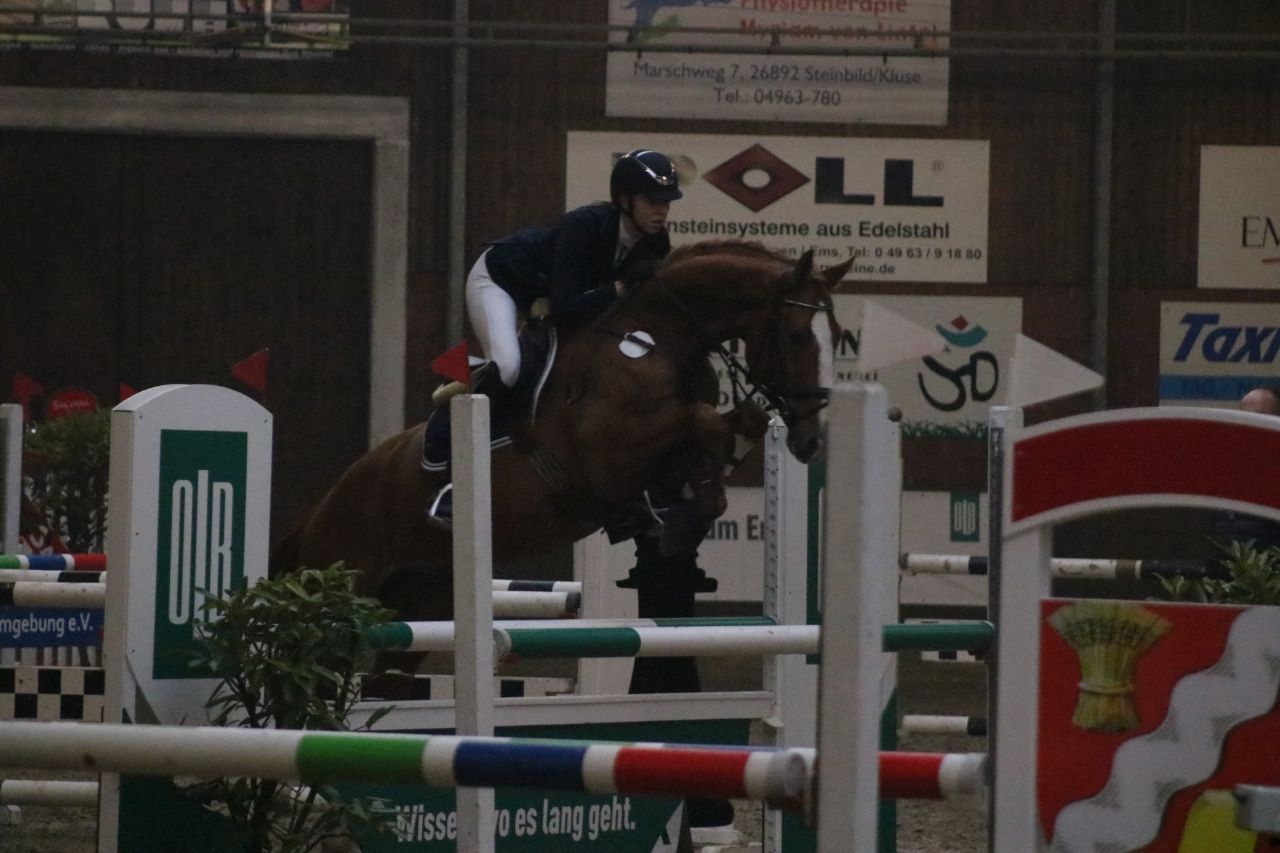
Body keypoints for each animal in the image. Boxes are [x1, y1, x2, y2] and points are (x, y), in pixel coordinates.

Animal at [271, 240, 852, 637]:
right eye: (796, 335)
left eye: (839, 338)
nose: (810, 441)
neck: (653, 338)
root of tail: (320, 509)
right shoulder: (606, 452)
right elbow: (703, 419)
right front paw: (682, 514)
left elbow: (726, 435)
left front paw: (682, 509)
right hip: (347, 582)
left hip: (417, 604)